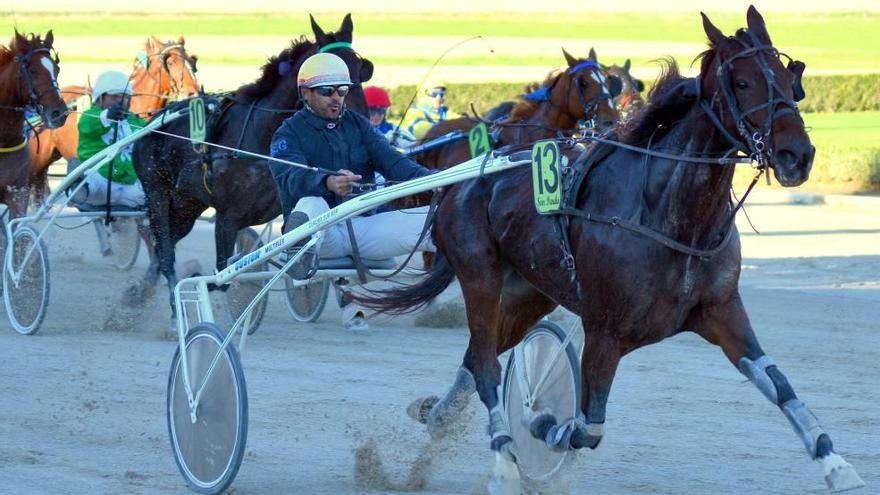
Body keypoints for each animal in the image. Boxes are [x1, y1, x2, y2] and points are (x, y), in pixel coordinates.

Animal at [360, 6, 868, 492]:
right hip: (480, 277)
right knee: (486, 367)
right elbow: (587, 428)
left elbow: (779, 384)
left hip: (528, 291)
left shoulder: (722, 310)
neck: (674, 218)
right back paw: (503, 461)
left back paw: (436, 414)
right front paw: (543, 422)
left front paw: (838, 466)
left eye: (788, 79)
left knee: (473, 359)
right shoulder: (604, 331)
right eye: (742, 82)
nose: (797, 155)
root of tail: (463, 177)